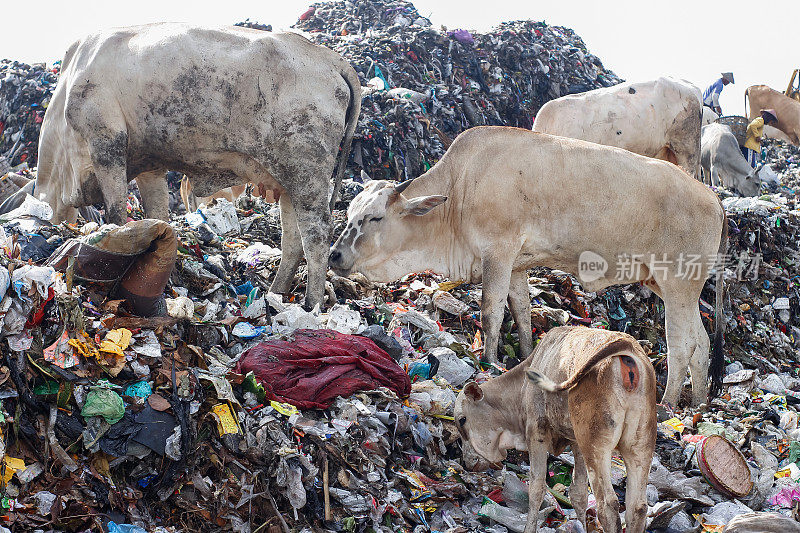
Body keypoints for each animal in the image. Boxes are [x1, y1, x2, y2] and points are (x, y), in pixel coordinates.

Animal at [36, 23, 360, 308]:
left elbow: (116, 213)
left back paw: (312, 303)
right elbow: (158, 216)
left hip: (307, 175)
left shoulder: (106, 143)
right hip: (288, 180)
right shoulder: (150, 165)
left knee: (317, 237)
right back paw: (276, 293)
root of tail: (328, 57)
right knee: (293, 239)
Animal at [328, 127, 728, 406]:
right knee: (702, 343)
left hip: (677, 282)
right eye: (351, 211)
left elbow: (491, 311)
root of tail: (713, 199)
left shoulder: (499, 252)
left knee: (682, 345)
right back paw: (699, 402)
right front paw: (523, 357)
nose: (334, 255)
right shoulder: (518, 266)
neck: (460, 190)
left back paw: (667, 404)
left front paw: (489, 362)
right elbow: (520, 311)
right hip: (673, 286)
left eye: (375, 217)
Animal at [456, 326, 656, 532]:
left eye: (462, 420)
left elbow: (536, 488)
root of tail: (626, 345)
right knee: (637, 507)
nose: (468, 462)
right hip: (640, 445)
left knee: (607, 505)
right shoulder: (576, 441)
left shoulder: (537, 432)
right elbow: (578, 493)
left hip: (596, 446)